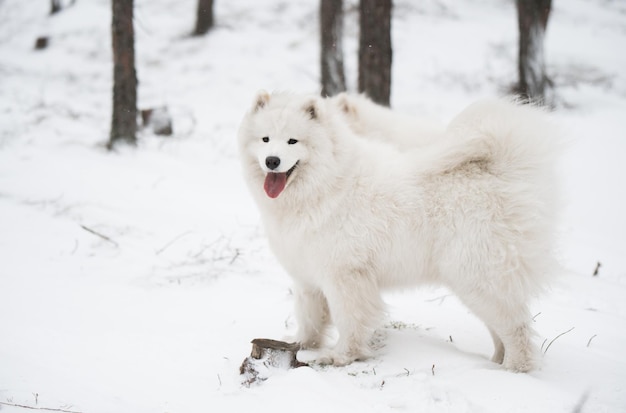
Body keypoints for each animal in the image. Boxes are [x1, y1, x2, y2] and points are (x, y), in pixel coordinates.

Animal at [236, 90, 560, 370]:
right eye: (265, 139)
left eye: (293, 141)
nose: (272, 161)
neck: (326, 185)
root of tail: (502, 172)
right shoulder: (308, 277)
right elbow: (310, 319)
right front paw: (300, 345)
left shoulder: (345, 277)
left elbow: (349, 321)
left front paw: (340, 357)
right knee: (502, 330)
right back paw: (495, 365)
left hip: (477, 279)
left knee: (516, 329)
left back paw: (514, 370)